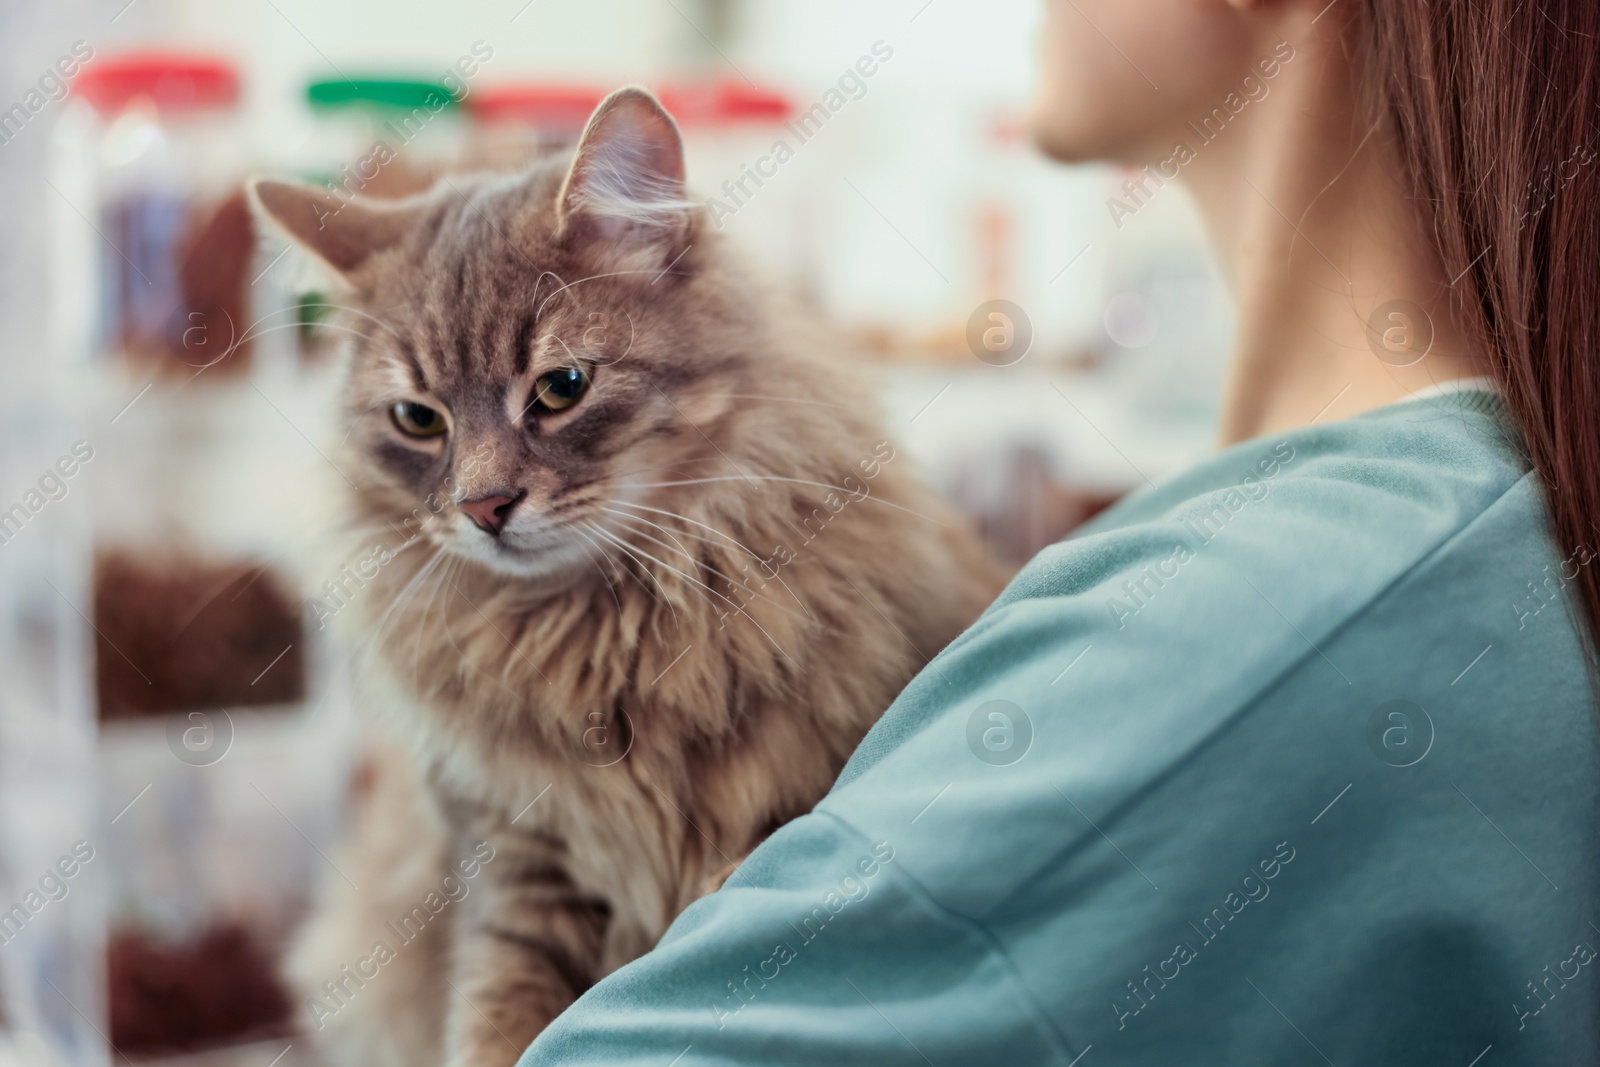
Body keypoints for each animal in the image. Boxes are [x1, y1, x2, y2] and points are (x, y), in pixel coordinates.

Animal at [248, 87, 998, 1067]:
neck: (598, 628)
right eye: (418, 419)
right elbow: (495, 1020)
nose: (484, 506)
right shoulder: (514, 864)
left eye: (562, 386)